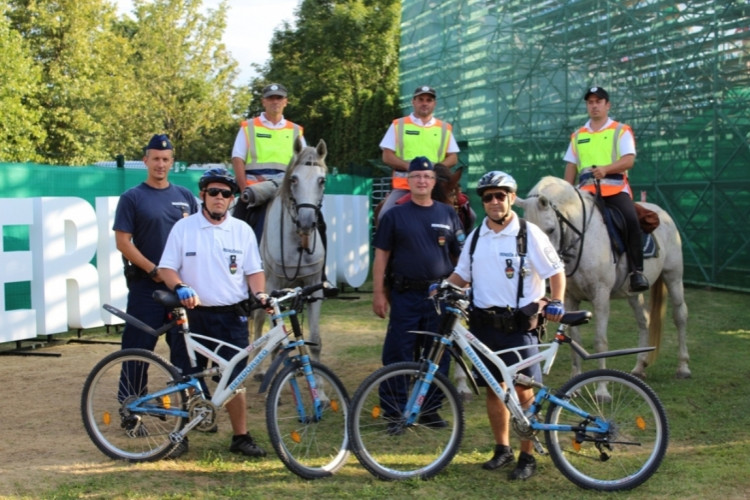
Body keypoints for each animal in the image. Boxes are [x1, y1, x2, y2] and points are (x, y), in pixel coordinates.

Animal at [251, 137, 328, 378]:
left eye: (321, 180)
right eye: (294, 179)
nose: (306, 222)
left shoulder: (314, 288)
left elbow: (315, 340)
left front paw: (319, 385)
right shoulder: (272, 286)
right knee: (258, 322)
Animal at [516, 177, 692, 382]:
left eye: (550, 230)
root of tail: (662, 212)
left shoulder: (600, 296)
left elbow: (600, 342)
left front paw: (601, 388)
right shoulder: (569, 298)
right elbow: (574, 338)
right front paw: (576, 378)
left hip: (673, 277)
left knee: (680, 316)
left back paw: (683, 367)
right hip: (633, 292)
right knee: (644, 320)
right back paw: (639, 366)